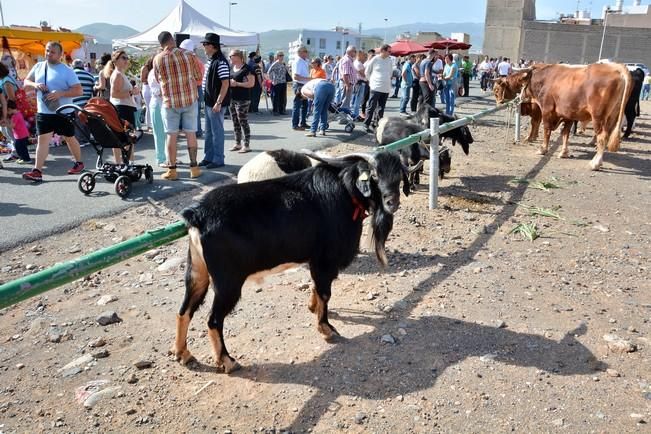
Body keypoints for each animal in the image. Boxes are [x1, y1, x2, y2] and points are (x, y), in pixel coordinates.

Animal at [176, 151, 410, 372]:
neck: (346, 190)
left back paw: (183, 354)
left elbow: (317, 288)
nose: (392, 202)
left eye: (399, 175)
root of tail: (198, 215)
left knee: (185, 309)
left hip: (198, 271)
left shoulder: (315, 259)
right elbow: (325, 292)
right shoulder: (325, 260)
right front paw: (326, 328)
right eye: (374, 175)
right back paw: (227, 361)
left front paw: (313, 308)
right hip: (228, 281)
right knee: (214, 319)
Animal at [494, 63, 632, 170]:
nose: (499, 102)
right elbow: (565, 133)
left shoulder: (546, 109)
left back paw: (595, 163)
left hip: (599, 116)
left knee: (602, 136)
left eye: (496, 90)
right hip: (613, 116)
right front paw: (564, 152)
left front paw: (542, 149)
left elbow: (546, 129)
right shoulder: (569, 115)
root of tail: (617, 67)